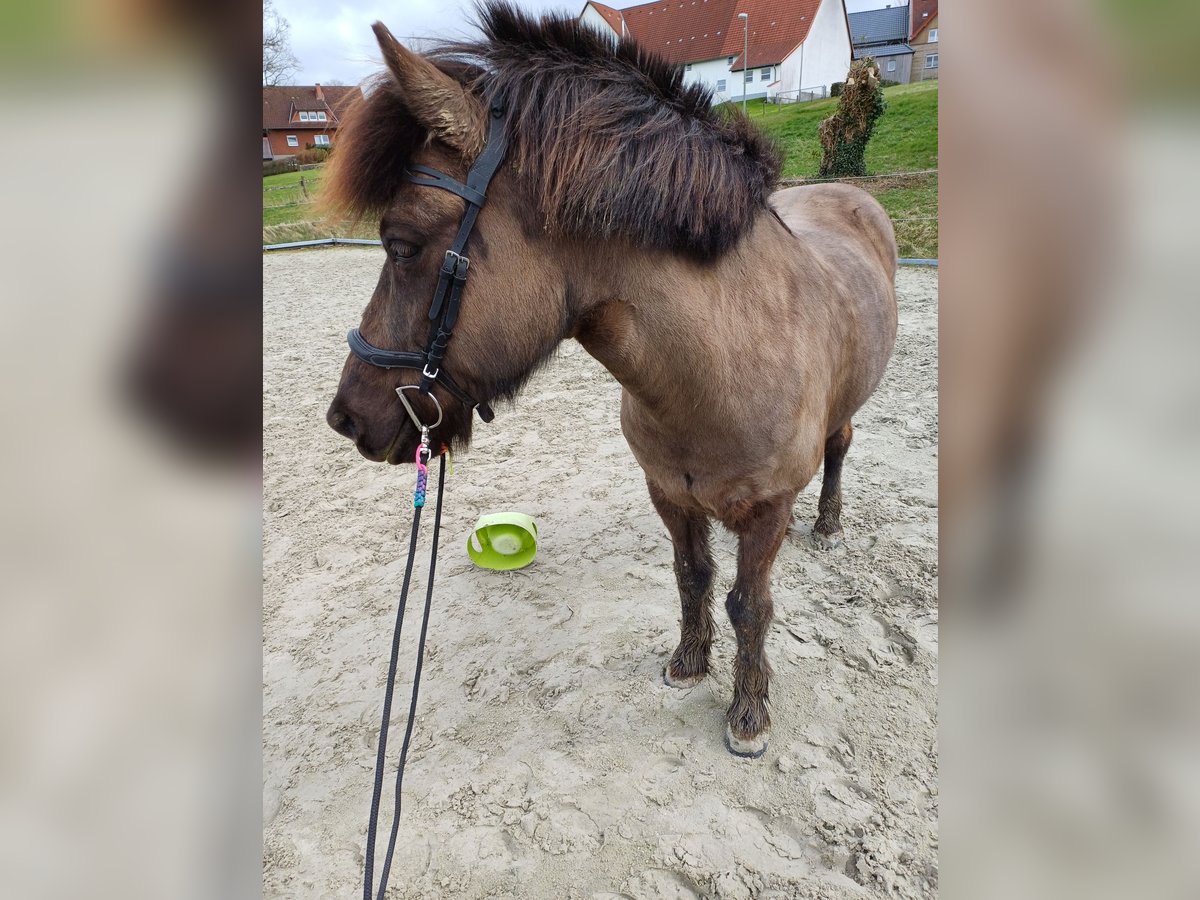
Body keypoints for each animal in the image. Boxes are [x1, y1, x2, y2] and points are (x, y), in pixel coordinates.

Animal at [324, 3, 897, 758]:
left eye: (402, 244)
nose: (347, 417)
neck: (721, 365)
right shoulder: (669, 495)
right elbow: (693, 575)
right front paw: (688, 662)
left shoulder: (767, 511)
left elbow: (751, 606)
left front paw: (748, 714)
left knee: (841, 445)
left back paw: (829, 522)